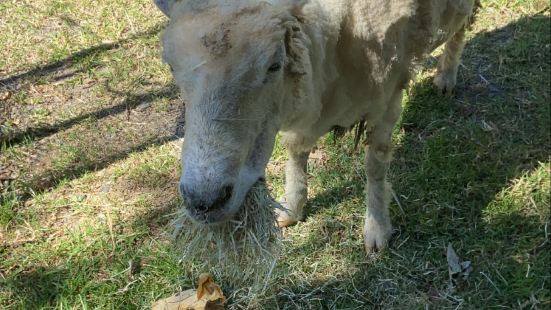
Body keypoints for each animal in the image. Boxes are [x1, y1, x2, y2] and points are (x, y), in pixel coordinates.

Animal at [154, 0, 478, 252]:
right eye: (171, 66)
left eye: (274, 65)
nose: (204, 201)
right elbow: (296, 149)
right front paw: (293, 205)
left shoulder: (386, 100)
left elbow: (375, 166)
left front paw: (377, 227)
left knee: (461, 27)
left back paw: (447, 75)